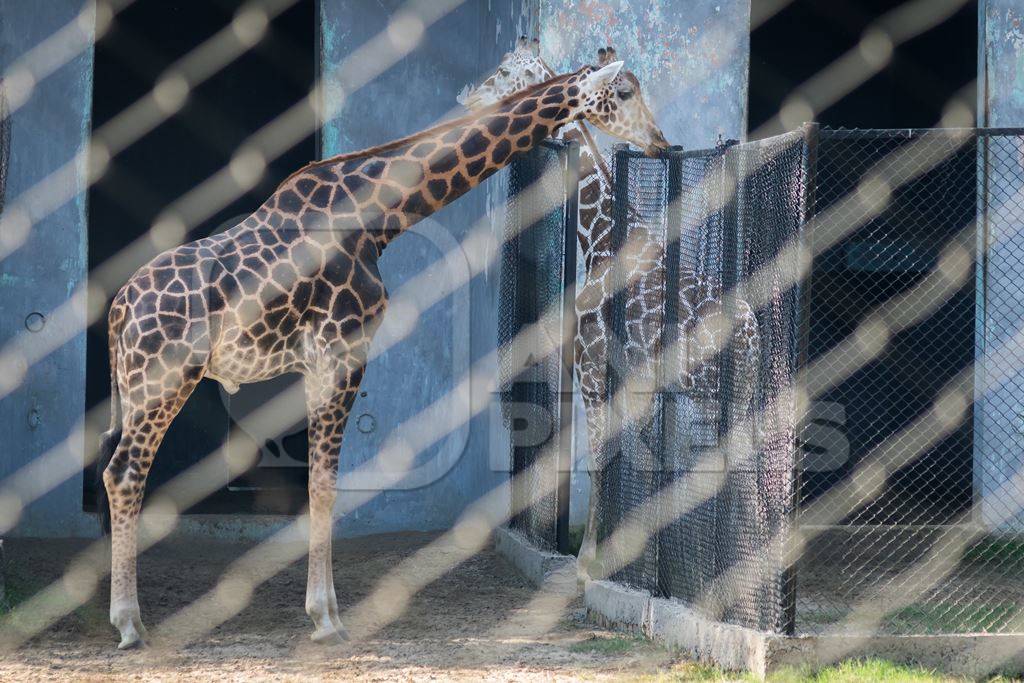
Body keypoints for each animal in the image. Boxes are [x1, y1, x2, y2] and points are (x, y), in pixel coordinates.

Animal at [460, 41, 765, 577]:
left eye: (507, 70)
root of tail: (753, 335)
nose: (471, 99)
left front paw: (588, 561)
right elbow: (636, 459)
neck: (599, 237)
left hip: (713, 396)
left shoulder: (591, 362)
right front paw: (628, 557)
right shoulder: (630, 378)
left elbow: (601, 456)